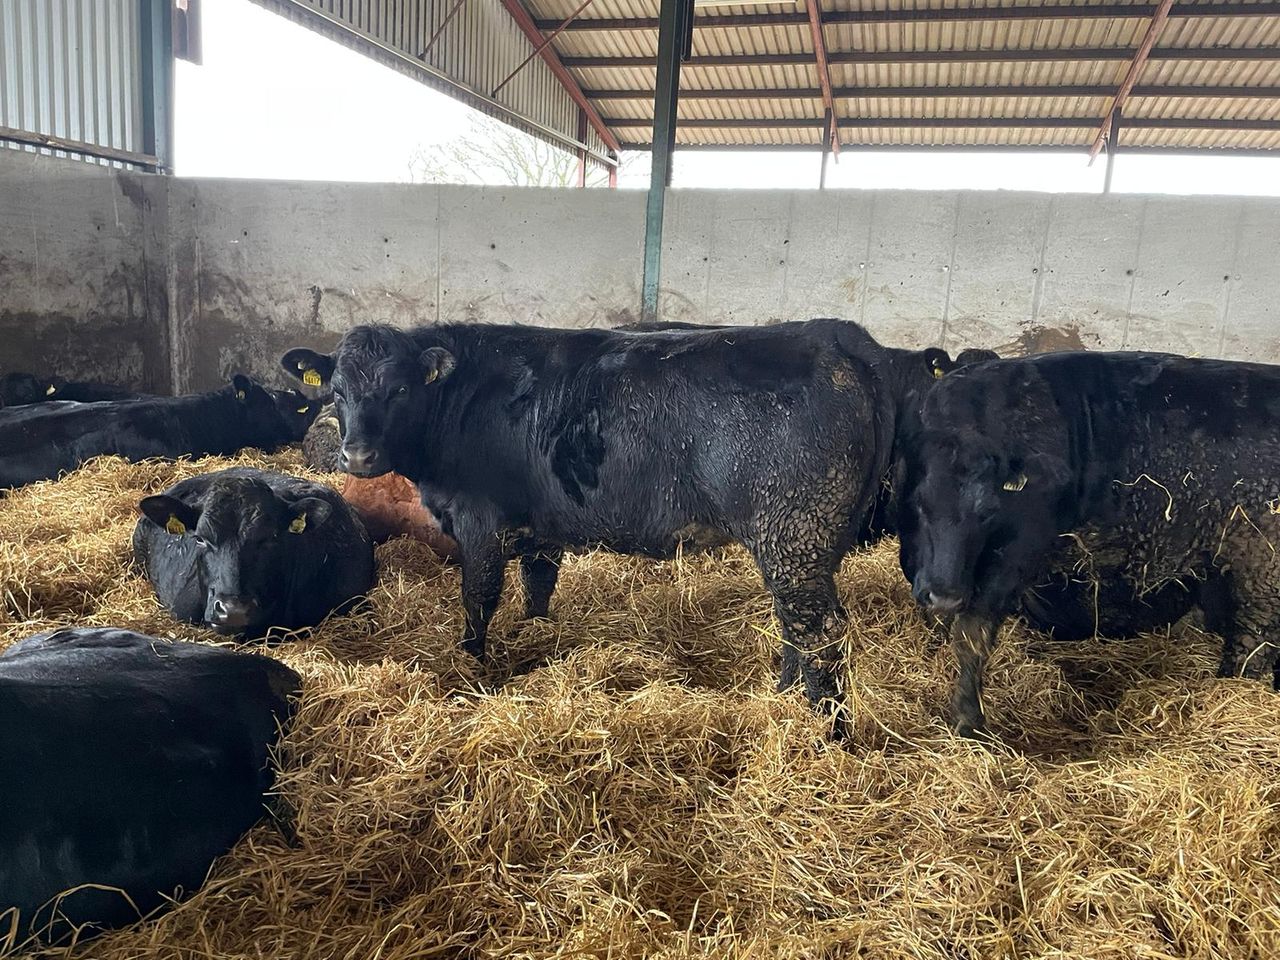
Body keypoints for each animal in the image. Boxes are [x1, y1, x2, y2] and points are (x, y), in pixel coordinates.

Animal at [281, 319, 950, 716]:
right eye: (337, 391)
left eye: (398, 390)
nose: (358, 457)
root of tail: (833, 334)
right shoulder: (538, 520)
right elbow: (538, 582)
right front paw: (535, 632)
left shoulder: (480, 519)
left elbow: (479, 594)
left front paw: (472, 662)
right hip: (803, 545)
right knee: (798, 625)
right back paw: (783, 701)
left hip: (795, 535)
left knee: (820, 630)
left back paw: (820, 727)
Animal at [901, 350, 1280, 736]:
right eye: (919, 503)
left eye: (989, 512)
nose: (945, 595)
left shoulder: (1015, 555)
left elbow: (971, 634)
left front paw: (968, 720)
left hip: (1262, 573)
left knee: (1254, 644)